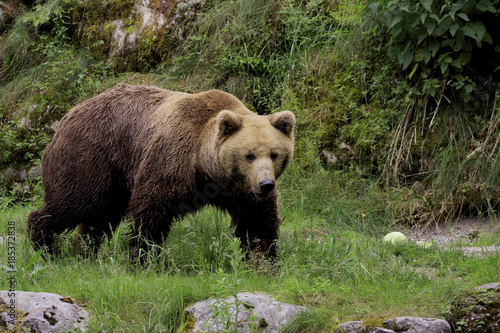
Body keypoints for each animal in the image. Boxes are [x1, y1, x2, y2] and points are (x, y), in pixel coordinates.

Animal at [27, 83, 294, 260]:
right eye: (249, 155)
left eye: (274, 154)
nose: (266, 184)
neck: (206, 169)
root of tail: (67, 116)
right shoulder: (172, 159)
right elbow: (151, 211)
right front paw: (142, 256)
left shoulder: (240, 191)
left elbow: (258, 220)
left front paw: (263, 258)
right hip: (91, 157)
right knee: (75, 201)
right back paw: (47, 247)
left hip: (113, 177)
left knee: (99, 217)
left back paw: (84, 252)